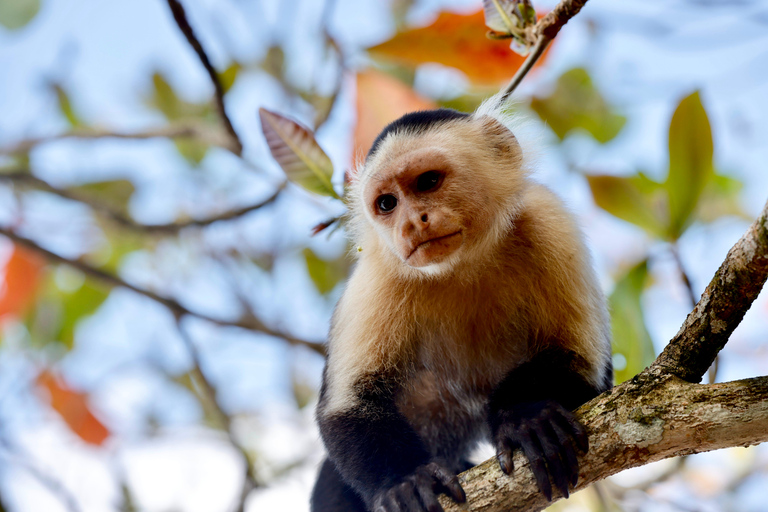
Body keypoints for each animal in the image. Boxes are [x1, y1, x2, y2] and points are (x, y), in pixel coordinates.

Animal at [308, 97, 616, 512]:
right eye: (387, 204)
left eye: (428, 181)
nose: (412, 223)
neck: (463, 264)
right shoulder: (377, 276)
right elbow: (349, 406)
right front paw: (404, 481)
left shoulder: (547, 221)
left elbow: (582, 364)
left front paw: (528, 417)